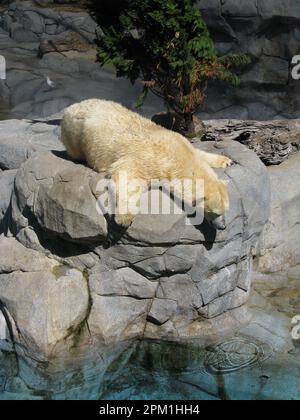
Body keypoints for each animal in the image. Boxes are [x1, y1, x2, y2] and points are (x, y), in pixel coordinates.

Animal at [60, 99, 230, 230]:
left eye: (226, 210)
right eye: (215, 212)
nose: (223, 226)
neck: (176, 155)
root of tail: (73, 106)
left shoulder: (184, 144)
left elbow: (201, 153)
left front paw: (226, 161)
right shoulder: (150, 160)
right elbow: (127, 177)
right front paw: (124, 219)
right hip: (76, 128)